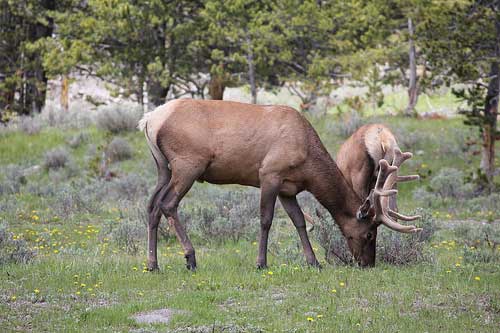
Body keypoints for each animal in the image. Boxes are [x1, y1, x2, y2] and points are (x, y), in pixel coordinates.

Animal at [138, 99, 422, 270]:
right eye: (370, 233)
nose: (368, 264)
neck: (308, 163)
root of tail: (150, 120)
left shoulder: (288, 188)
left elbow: (299, 221)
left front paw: (314, 262)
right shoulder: (269, 173)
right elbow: (266, 219)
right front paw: (261, 262)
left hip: (162, 167)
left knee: (151, 206)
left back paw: (153, 264)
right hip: (188, 164)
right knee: (168, 204)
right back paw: (191, 258)